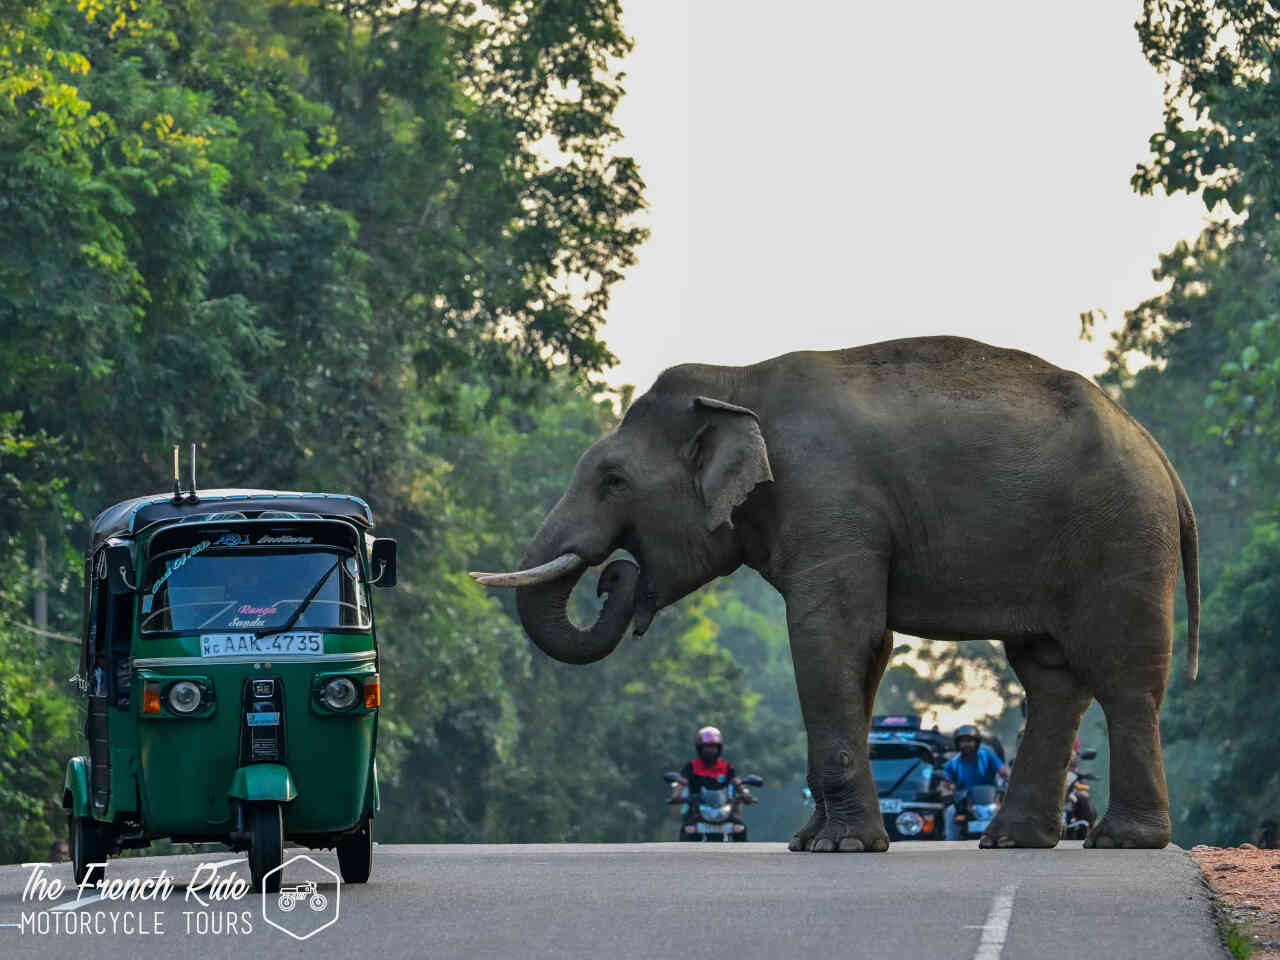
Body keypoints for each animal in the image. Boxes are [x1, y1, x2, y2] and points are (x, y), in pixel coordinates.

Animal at [473, 340, 1198, 855]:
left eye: (614, 480)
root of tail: (1158, 453)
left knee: (1123, 673)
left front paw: (842, 847)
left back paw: (1121, 841)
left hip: (1123, 534)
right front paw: (810, 842)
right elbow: (865, 649)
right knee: (1049, 676)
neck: (735, 384)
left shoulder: (829, 498)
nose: (611, 577)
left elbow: (832, 634)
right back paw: (1014, 842)